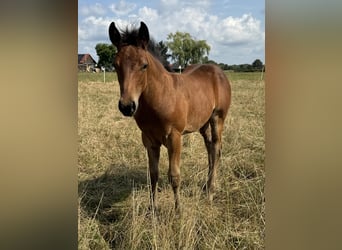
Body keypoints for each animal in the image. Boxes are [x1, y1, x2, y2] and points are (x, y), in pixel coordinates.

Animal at [109, 21, 232, 210]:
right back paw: (206, 186)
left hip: (217, 118)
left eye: (144, 65)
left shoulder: (175, 137)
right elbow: (153, 174)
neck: (161, 97)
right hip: (202, 124)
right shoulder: (149, 140)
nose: (127, 106)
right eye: (115, 65)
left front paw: (178, 211)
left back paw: (210, 192)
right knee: (210, 148)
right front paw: (153, 209)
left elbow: (174, 175)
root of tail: (218, 70)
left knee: (217, 148)